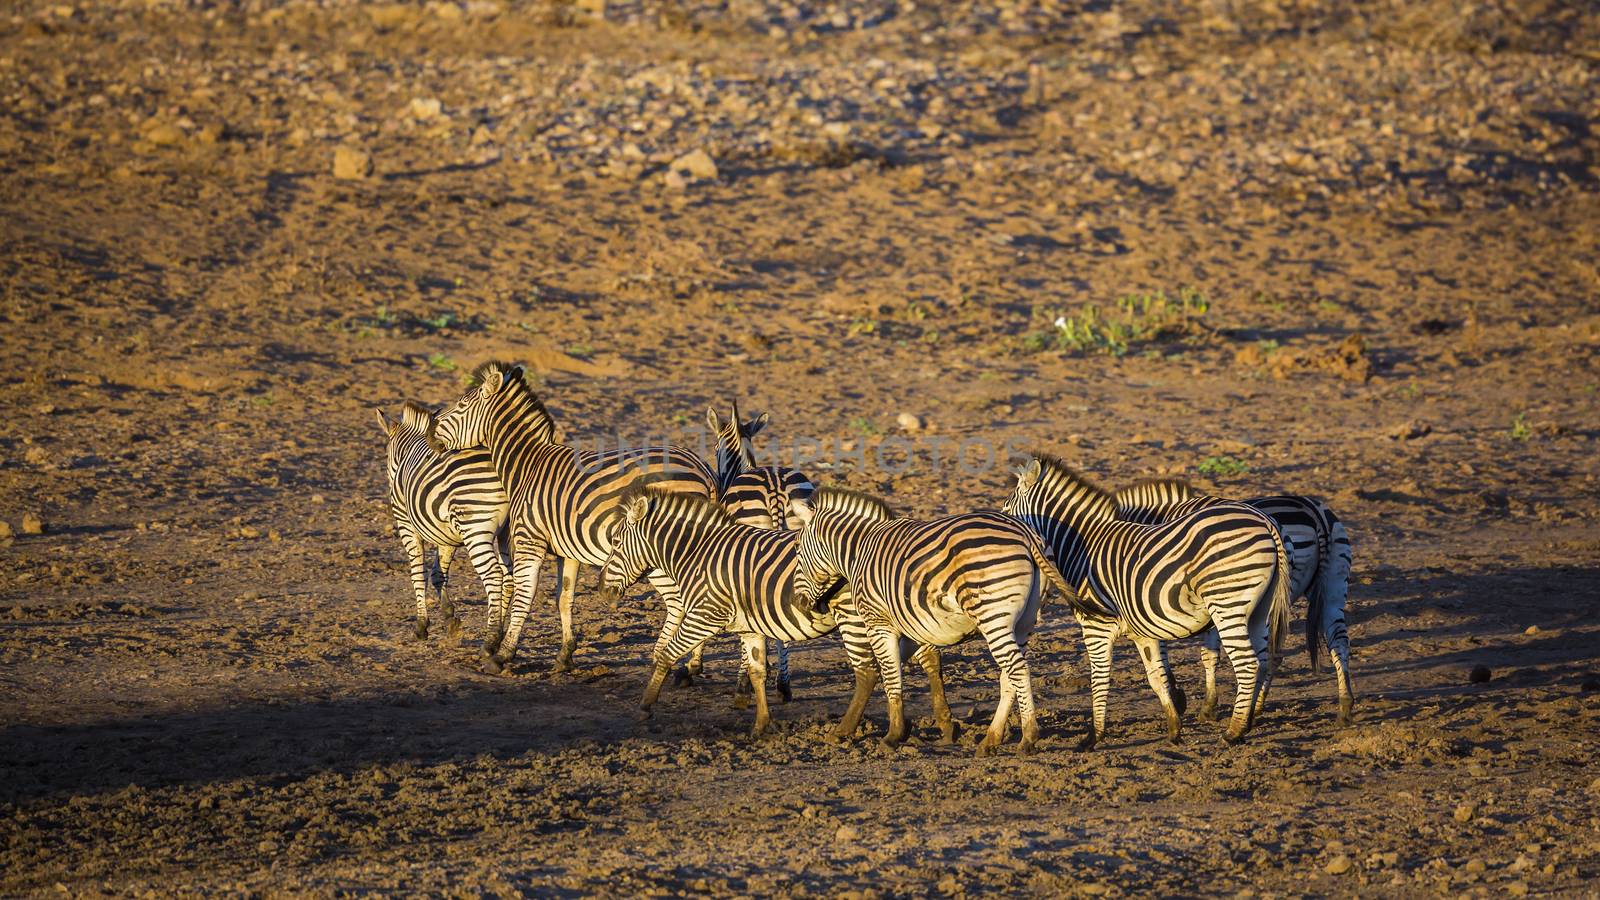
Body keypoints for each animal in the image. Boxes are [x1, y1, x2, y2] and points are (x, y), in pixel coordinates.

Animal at [372, 397, 505, 637]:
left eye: (386, 456)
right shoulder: (447, 534)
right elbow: (438, 572)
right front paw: (449, 616)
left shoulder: (406, 525)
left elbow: (417, 573)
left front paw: (421, 624)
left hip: (475, 528)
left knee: (494, 575)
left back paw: (494, 634)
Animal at [432, 360, 720, 669]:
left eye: (461, 404)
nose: (431, 427)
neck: (527, 466)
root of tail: (703, 469)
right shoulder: (567, 550)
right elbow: (565, 598)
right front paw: (565, 655)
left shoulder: (529, 540)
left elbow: (524, 594)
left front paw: (503, 654)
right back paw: (691, 667)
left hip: (660, 550)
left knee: (678, 602)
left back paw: (663, 658)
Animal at [784, 483, 1068, 749]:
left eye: (797, 548)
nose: (798, 602)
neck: (860, 550)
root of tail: (1025, 533)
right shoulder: (914, 623)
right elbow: (918, 665)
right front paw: (935, 726)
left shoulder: (878, 622)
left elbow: (890, 674)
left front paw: (892, 735)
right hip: (1024, 621)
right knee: (1009, 674)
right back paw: (991, 740)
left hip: (993, 616)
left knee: (1016, 669)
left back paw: (1028, 737)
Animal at [1004, 454, 1292, 743]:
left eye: (1006, 509)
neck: (1082, 547)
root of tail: (1265, 522)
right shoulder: (1141, 629)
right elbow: (1156, 675)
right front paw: (1174, 727)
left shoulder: (1097, 627)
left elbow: (1100, 677)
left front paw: (1094, 736)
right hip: (1259, 609)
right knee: (1263, 661)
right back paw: (1249, 721)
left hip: (1227, 603)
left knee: (1247, 664)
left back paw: (1233, 731)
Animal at [1120, 477, 1356, 720]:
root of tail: (1312, 513)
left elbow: (1199, 652)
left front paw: (1196, 703)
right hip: (1333, 582)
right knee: (1337, 640)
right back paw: (1344, 706)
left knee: (1272, 655)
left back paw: (1256, 706)